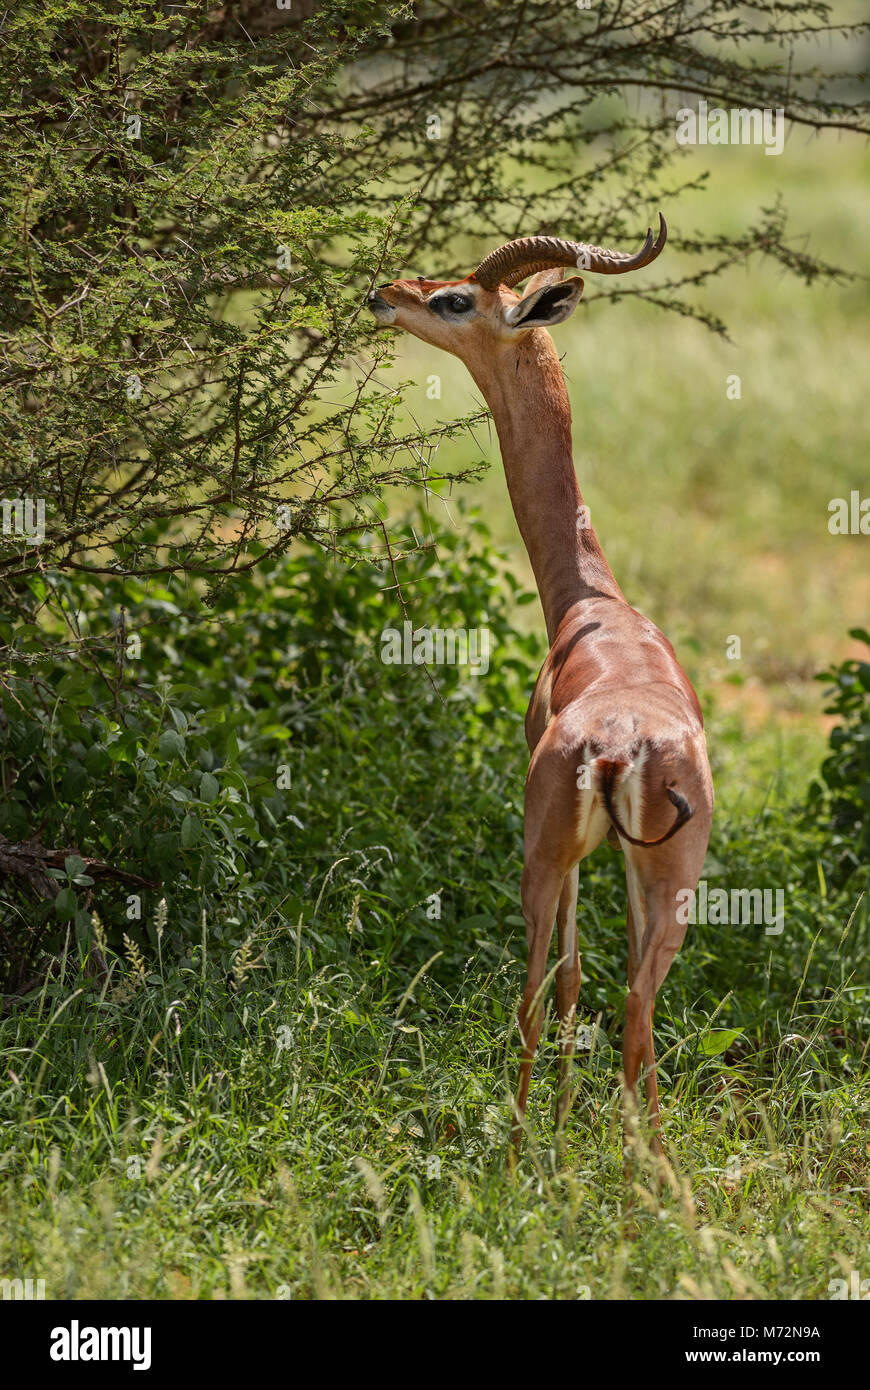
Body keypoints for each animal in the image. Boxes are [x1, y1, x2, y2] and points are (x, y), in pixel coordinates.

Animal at [367, 217, 713, 1164]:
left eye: (457, 299)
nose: (383, 292)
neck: (593, 606)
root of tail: (624, 748)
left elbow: (564, 979)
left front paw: (555, 1135)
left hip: (543, 857)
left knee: (538, 993)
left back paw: (524, 1160)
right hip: (673, 883)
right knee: (639, 1011)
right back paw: (652, 1178)